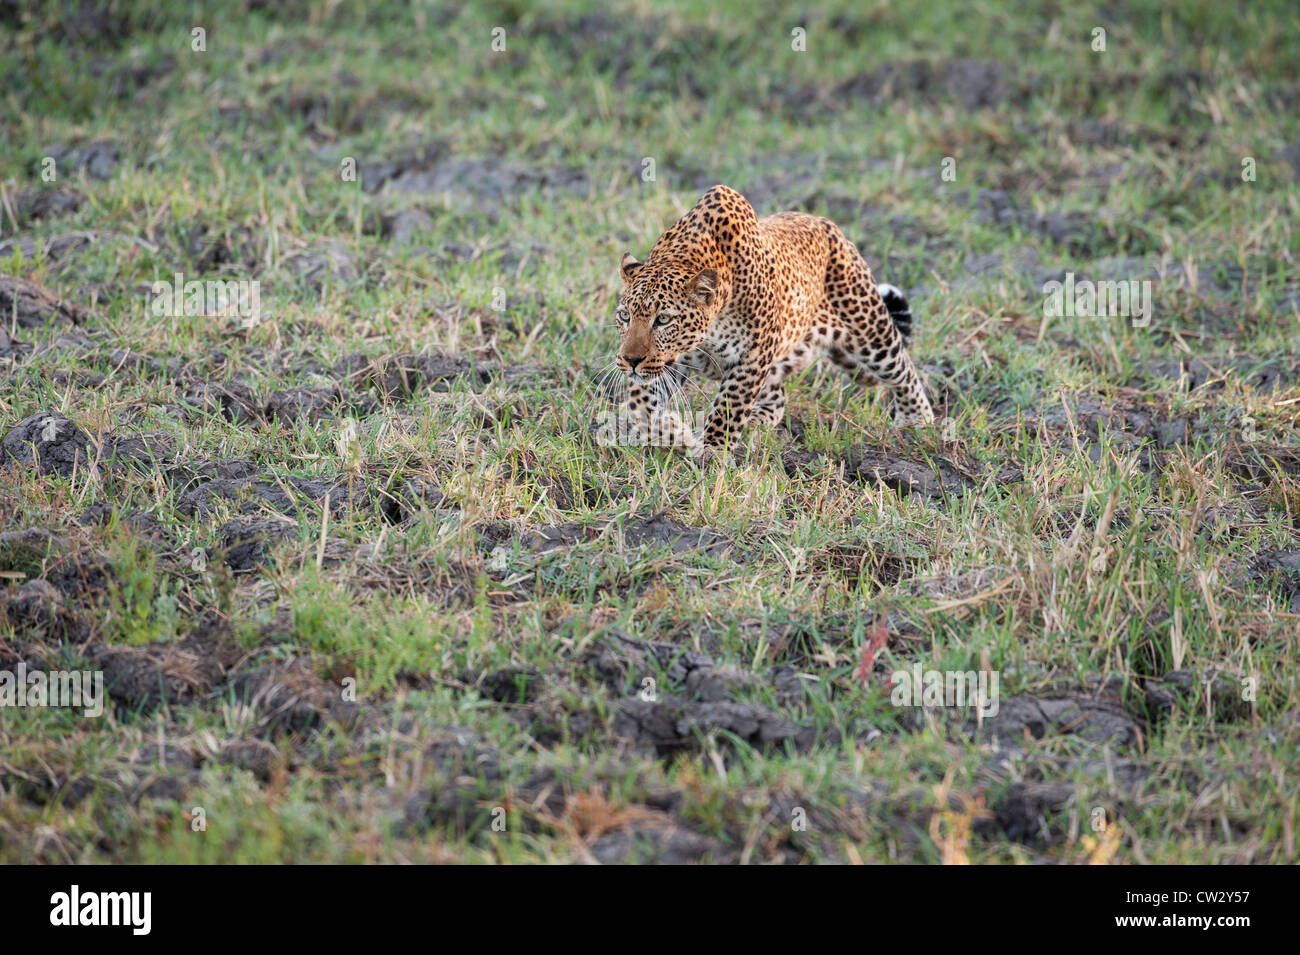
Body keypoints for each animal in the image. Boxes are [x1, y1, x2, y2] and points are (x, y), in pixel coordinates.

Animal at [611, 184, 935, 462]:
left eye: (663, 319)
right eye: (625, 316)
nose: (630, 360)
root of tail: (824, 222)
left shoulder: (752, 357)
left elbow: (729, 407)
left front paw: (712, 452)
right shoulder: (670, 361)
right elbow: (640, 402)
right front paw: (666, 434)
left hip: (867, 326)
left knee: (901, 366)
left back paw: (918, 419)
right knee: (777, 399)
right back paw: (752, 422)